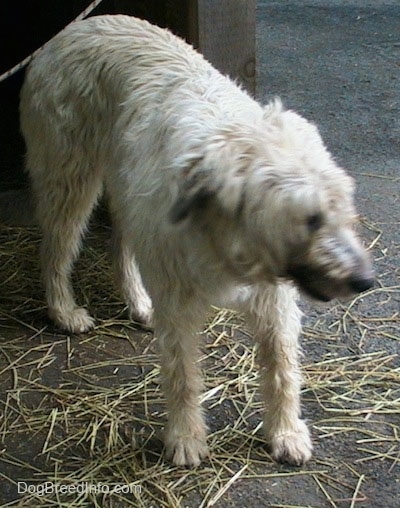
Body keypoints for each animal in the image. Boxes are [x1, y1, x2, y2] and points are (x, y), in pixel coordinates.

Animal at [20, 14, 374, 468]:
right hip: (70, 180)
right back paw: (63, 310)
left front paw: (286, 432)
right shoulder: (177, 303)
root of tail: (76, 27)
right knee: (55, 248)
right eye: (310, 219)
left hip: (127, 191)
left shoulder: (274, 300)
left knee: (122, 244)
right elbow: (182, 373)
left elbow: (282, 366)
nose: (366, 282)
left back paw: (138, 301)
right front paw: (186, 437)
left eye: (343, 206)